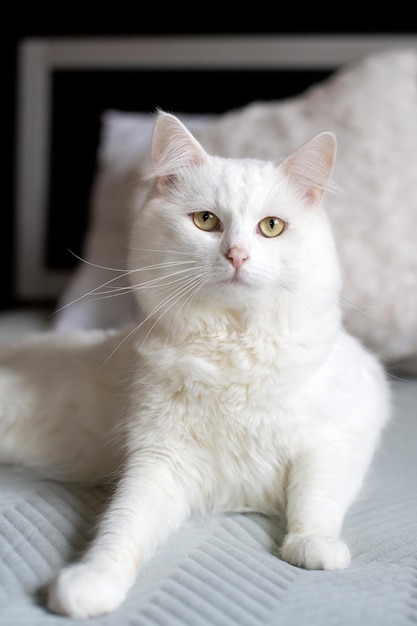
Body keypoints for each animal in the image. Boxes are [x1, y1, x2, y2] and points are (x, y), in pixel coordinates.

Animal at [0, 111, 390, 616]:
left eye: (271, 226)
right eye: (206, 221)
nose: (236, 255)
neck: (233, 352)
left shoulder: (346, 430)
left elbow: (315, 496)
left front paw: (313, 546)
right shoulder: (159, 461)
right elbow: (122, 528)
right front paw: (91, 583)